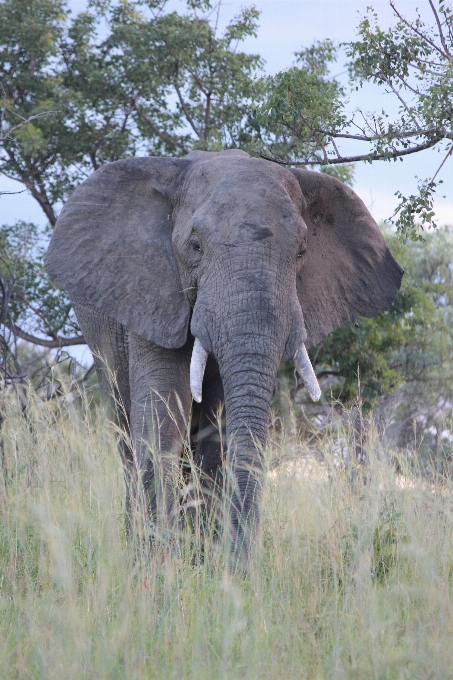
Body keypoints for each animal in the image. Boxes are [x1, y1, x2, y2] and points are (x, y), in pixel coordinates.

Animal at [43, 151, 402, 564]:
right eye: (195, 246)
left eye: (301, 252)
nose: (243, 564)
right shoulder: (151, 290)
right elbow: (163, 413)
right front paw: (158, 565)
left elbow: (218, 427)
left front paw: (207, 565)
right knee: (125, 428)